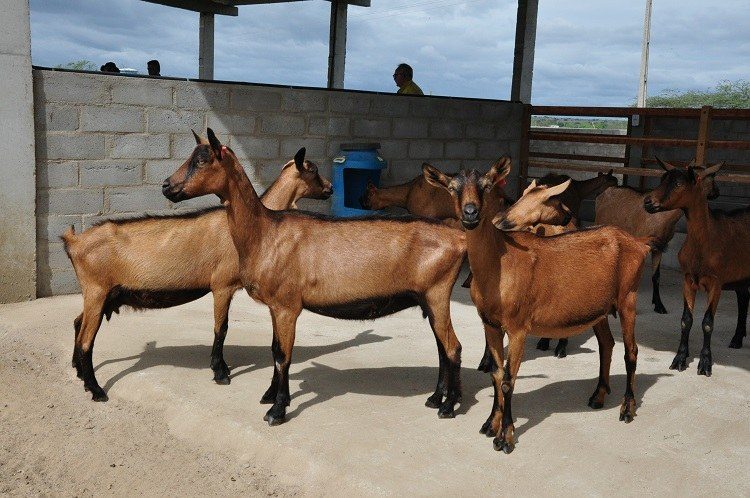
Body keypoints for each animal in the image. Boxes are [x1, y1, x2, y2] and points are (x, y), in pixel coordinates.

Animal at [63, 145, 334, 400]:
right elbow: (221, 328)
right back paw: (96, 389)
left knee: (77, 322)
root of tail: (73, 242)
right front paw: (220, 372)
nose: (330, 188)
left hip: (101, 295)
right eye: (313, 170)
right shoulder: (222, 285)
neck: (252, 227)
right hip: (96, 290)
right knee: (87, 339)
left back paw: (78, 370)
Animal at [163, 128, 470, 424]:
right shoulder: (275, 306)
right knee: (442, 347)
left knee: (453, 347)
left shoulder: (287, 306)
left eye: (202, 160)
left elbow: (282, 355)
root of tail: (459, 237)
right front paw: (270, 395)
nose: (166, 186)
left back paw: (449, 406)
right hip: (430, 299)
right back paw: (436, 398)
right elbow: (274, 349)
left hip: (438, 293)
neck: (266, 233)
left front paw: (277, 410)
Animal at [424, 158, 652, 454]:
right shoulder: (491, 325)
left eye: (486, 185)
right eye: (452, 188)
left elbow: (509, 380)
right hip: (600, 309)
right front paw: (490, 424)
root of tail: (639, 243)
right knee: (607, 344)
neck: (499, 265)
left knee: (631, 351)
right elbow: (496, 374)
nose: (470, 214)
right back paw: (598, 396)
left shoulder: (518, 327)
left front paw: (505, 437)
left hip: (628, 299)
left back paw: (627, 408)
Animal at [600, 159, 724, 316]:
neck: (663, 217)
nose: (717, 192)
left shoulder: (659, 247)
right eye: (711, 177)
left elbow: (656, 276)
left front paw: (658, 305)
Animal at [648, 161, 750, 376]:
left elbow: (708, 323)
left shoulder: (716, 282)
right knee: (744, 298)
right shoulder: (688, 279)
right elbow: (686, 320)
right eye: (662, 179)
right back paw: (737, 339)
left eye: (678, 184)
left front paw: (705, 363)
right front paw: (680, 358)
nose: (647, 202)